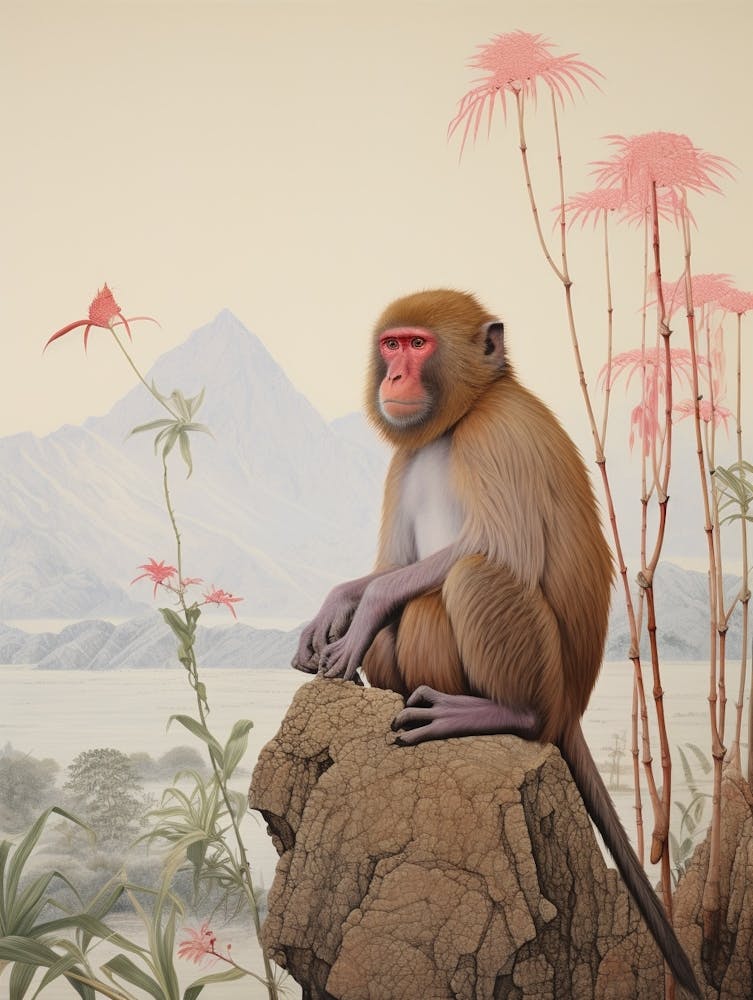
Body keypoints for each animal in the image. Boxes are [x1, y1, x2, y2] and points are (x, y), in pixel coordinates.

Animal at [292, 289, 700, 997]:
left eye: (418, 345)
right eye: (392, 345)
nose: (395, 376)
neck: (458, 420)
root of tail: (570, 707)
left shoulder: (495, 435)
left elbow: (492, 548)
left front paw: (361, 607)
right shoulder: (406, 459)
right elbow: (395, 564)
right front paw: (339, 602)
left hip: (541, 674)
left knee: (463, 580)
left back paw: (498, 712)